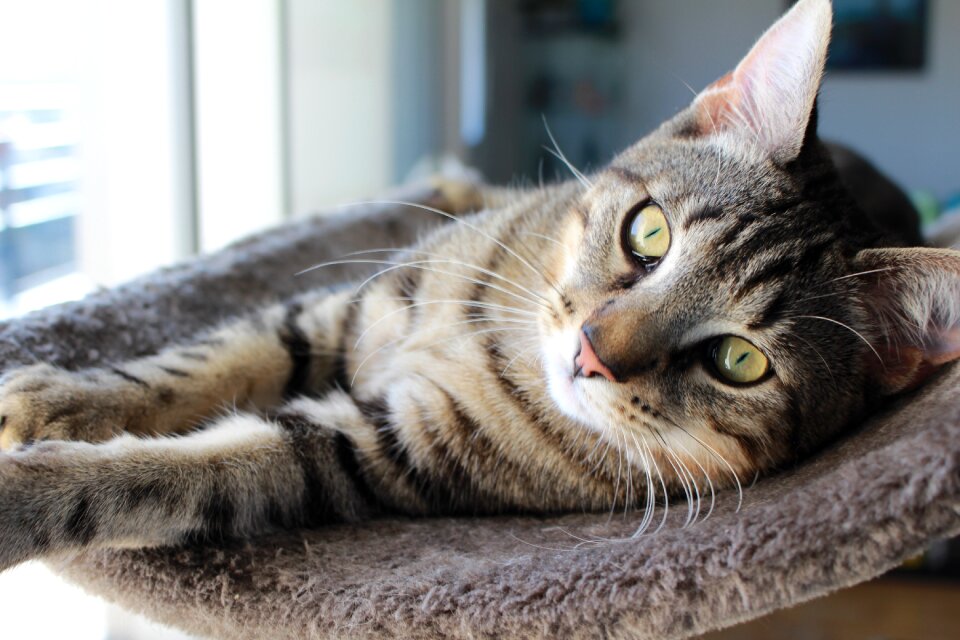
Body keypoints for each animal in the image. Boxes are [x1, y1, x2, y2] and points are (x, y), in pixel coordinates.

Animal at [1, 0, 960, 568]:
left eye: (739, 362)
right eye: (647, 233)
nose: (590, 355)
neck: (495, 338)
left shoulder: (373, 449)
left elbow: (175, 469)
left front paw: (27, 496)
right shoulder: (346, 309)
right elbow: (210, 361)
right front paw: (60, 397)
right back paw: (451, 180)